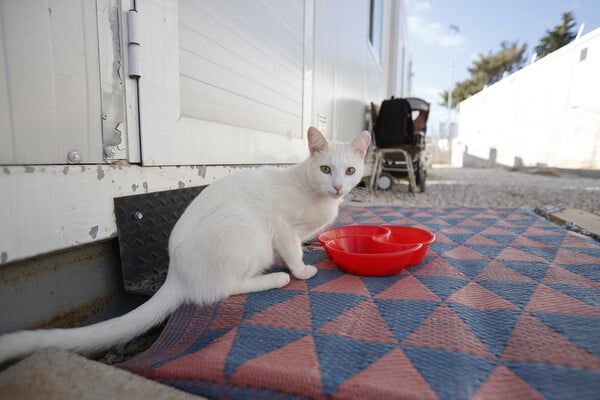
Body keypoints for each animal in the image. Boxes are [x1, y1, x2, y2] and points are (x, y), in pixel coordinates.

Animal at [0, 127, 370, 362]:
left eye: (350, 170)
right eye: (325, 169)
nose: (338, 186)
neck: (313, 190)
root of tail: (176, 275)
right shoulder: (281, 227)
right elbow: (292, 250)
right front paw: (302, 270)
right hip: (245, 230)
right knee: (219, 291)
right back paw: (274, 278)